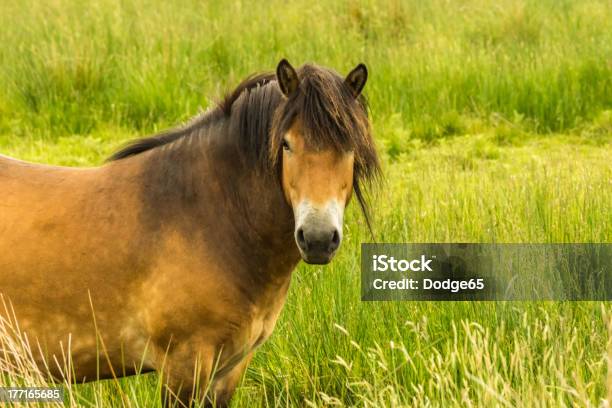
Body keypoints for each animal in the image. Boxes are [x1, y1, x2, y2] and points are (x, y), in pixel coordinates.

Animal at [0, 59, 380, 406]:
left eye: (350, 146)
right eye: (286, 144)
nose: (317, 238)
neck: (211, 218)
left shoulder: (229, 369)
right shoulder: (184, 365)